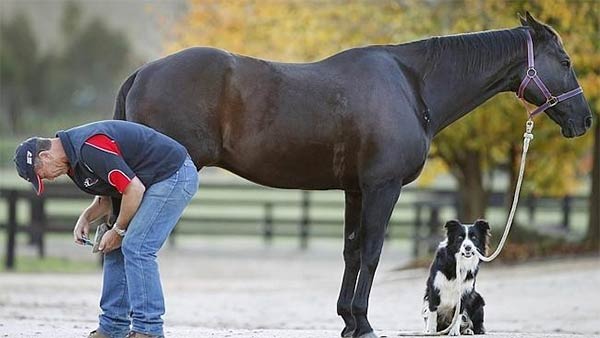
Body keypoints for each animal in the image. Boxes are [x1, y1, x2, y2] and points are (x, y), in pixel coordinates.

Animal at [111, 13, 592, 338]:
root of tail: (141, 73)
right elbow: (373, 253)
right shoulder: (383, 188)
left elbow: (352, 252)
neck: (412, 85)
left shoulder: (354, 190)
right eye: (566, 61)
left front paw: (346, 319)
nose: (584, 120)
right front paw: (362, 322)